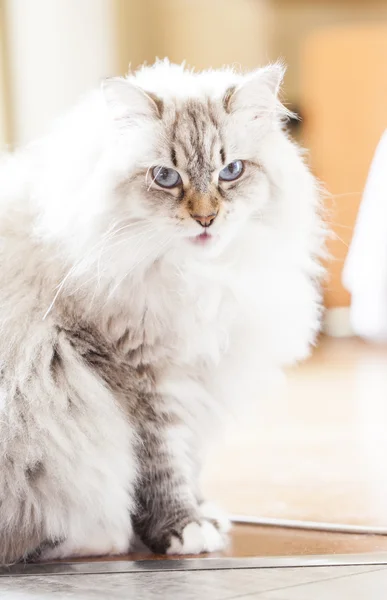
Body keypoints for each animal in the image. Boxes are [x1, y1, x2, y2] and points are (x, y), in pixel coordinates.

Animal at [0, 57, 326, 564]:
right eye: (166, 177)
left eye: (231, 171)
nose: (206, 218)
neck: (194, 278)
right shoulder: (134, 376)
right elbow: (161, 466)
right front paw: (182, 531)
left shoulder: (196, 378)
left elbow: (190, 461)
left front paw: (204, 514)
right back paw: (96, 537)